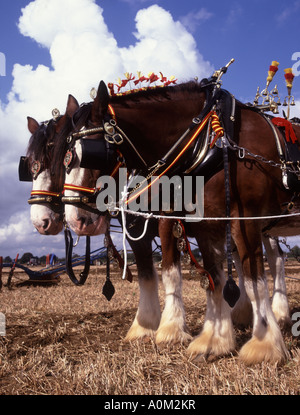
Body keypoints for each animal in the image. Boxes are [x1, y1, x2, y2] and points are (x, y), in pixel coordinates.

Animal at [63, 77, 300, 364]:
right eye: (65, 156)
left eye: (92, 152)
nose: (75, 219)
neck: (211, 139)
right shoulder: (207, 226)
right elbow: (215, 280)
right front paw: (214, 340)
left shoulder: (245, 220)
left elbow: (255, 282)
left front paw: (264, 345)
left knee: (275, 261)